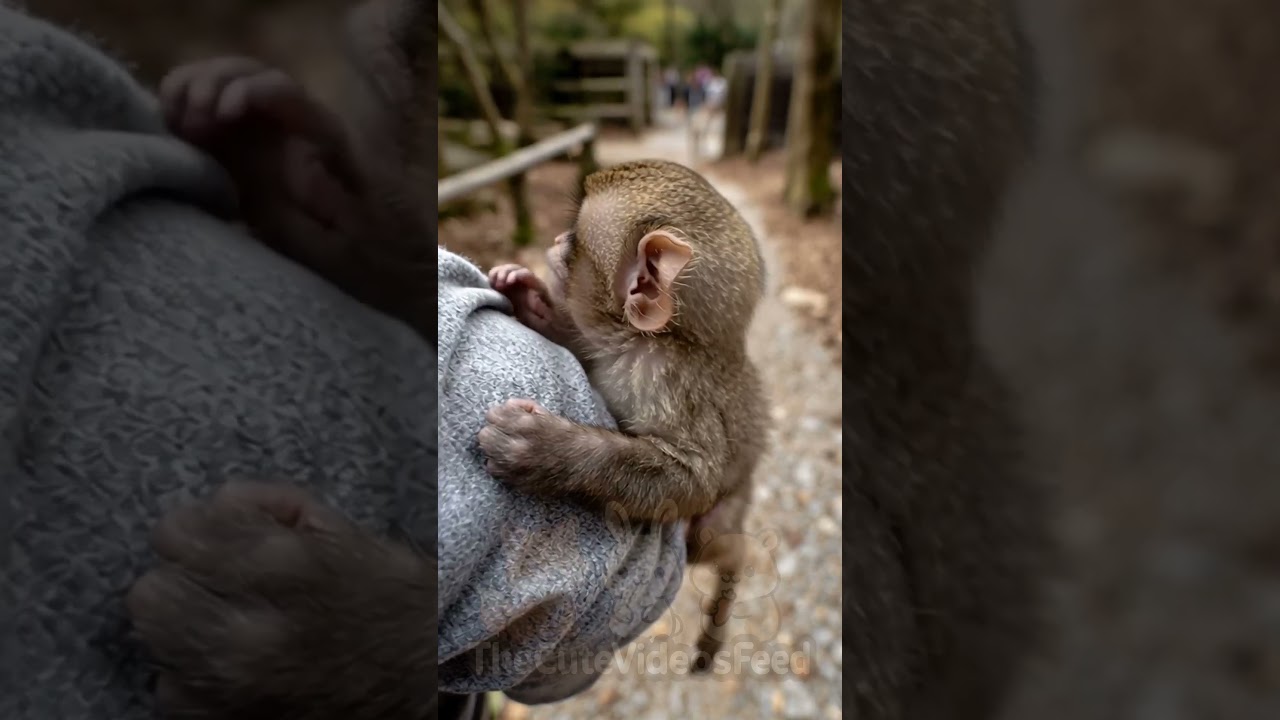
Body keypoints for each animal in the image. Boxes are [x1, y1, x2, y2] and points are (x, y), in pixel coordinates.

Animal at [478, 158, 771, 668]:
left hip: (724, 514)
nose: (556, 239)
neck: (647, 341)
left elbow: (693, 480)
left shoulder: (669, 382)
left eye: (575, 238)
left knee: (714, 540)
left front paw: (547, 449)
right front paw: (527, 294)